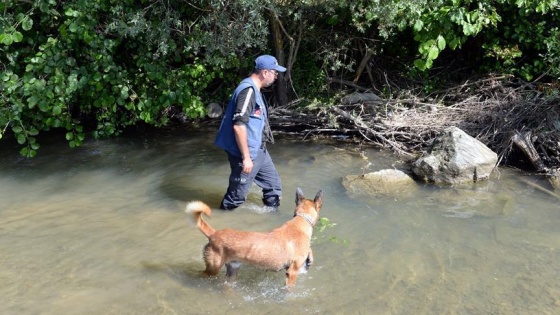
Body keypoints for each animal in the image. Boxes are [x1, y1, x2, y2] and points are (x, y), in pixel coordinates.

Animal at [186, 189, 322, 288]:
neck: (301, 219)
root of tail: (214, 233)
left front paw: (310, 259)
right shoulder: (292, 272)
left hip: (232, 270)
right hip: (213, 268)